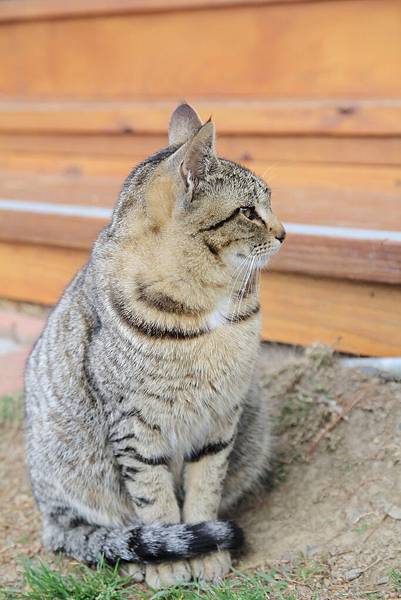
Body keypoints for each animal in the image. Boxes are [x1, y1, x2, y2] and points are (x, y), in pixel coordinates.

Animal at [24, 102, 284, 584]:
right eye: (248, 212)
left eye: (269, 201)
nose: (283, 232)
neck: (207, 304)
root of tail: (49, 515)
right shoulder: (136, 430)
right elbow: (157, 502)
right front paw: (172, 563)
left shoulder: (220, 419)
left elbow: (204, 489)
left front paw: (207, 555)